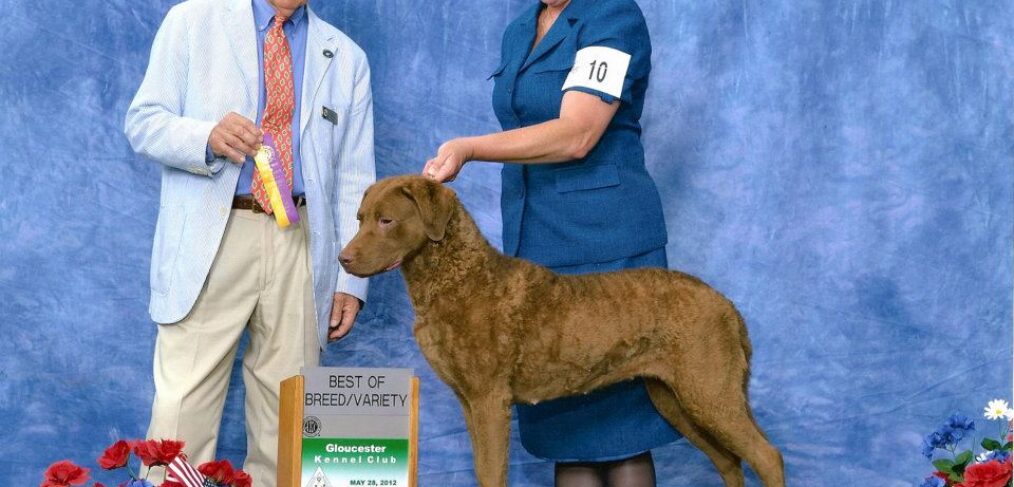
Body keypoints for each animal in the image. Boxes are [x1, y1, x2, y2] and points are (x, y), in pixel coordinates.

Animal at [338, 175, 782, 487]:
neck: (459, 278)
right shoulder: (468, 400)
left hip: (709, 390)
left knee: (767, 457)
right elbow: (482, 469)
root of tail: (726, 305)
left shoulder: (489, 397)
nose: (343, 258)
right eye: (360, 219)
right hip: (675, 399)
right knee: (730, 461)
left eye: (386, 220)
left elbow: (493, 472)